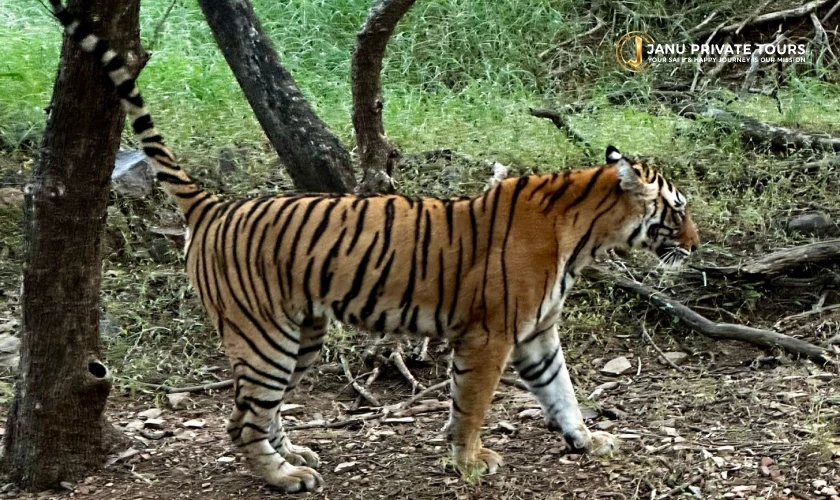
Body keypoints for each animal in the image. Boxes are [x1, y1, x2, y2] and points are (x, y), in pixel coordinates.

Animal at [50, 0, 699, 493]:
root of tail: (215, 204)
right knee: (241, 422)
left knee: (259, 411)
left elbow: (562, 390)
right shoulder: (489, 334)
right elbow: (472, 402)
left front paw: (587, 438)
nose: (695, 244)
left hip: (300, 334)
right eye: (678, 209)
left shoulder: (537, 331)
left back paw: (295, 456)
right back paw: (284, 478)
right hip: (264, 335)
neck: (582, 233)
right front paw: (469, 461)